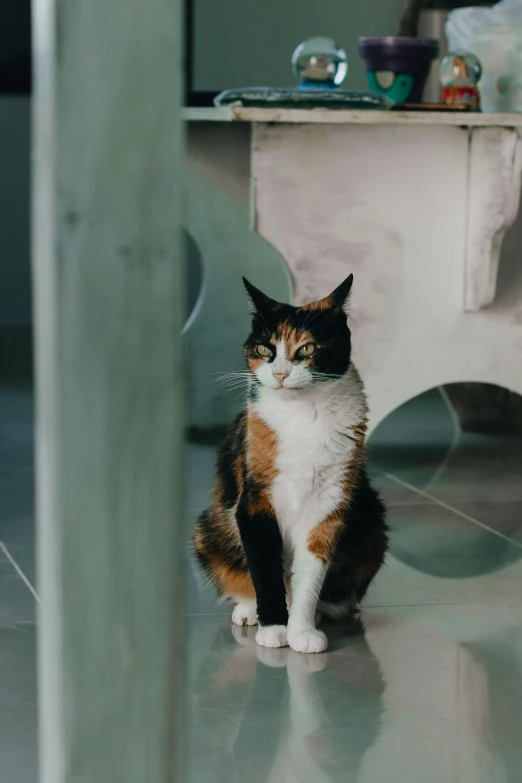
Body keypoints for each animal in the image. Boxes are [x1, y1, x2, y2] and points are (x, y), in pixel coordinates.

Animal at [192, 276, 386, 656]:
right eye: (265, 349)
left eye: (307, 349)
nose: (281, 373)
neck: (303, 416)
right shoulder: (254, 503)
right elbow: (266, 571)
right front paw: (274, 627)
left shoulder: (328, 505)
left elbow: (309, 577)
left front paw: (302, 630)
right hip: (207, 528)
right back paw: (248, 610)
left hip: (373, 523)